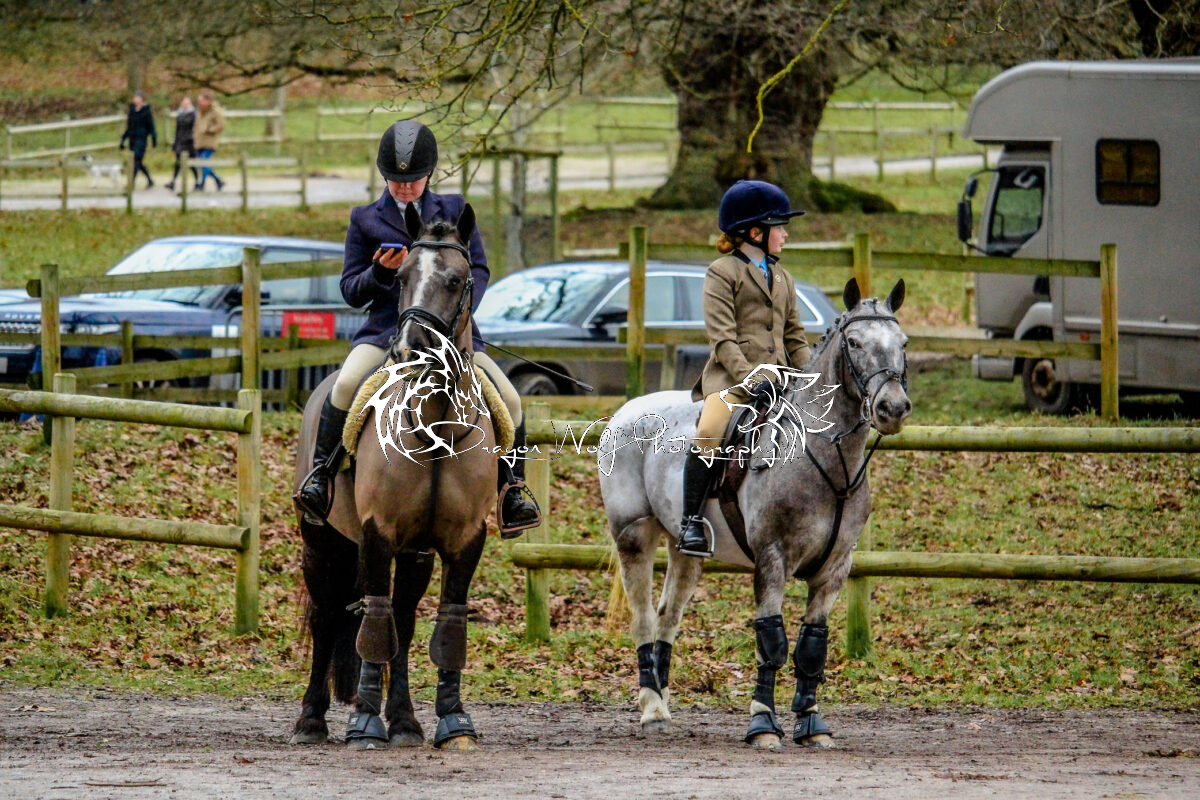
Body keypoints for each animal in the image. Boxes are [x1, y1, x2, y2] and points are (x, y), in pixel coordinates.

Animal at [289, 202, 496, 751]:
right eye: (400, 277)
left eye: (456, 279)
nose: (410, 349)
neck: (434, 425)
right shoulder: (375, 531)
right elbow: (375, 621)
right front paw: (364, 722)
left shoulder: (464, 539)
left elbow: (447, 624)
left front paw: (453, 720)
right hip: (322, 540)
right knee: (330, 617)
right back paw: (311, 720)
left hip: (415, 551)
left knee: (402, 618)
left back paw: (404, 721)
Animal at [598, 278, 911, 750]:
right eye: (854, 342)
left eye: (903, 343)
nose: (893, 408)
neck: (821, 457)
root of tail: (626, 411)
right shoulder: (772, 558)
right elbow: (772, 641)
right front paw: (763, 723)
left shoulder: (835, 569)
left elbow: (811, 646)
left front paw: (811, 724)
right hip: (633, 535)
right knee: (643, 619)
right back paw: (652, 710)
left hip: (685, 550)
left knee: (667, 618)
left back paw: (663, 702)